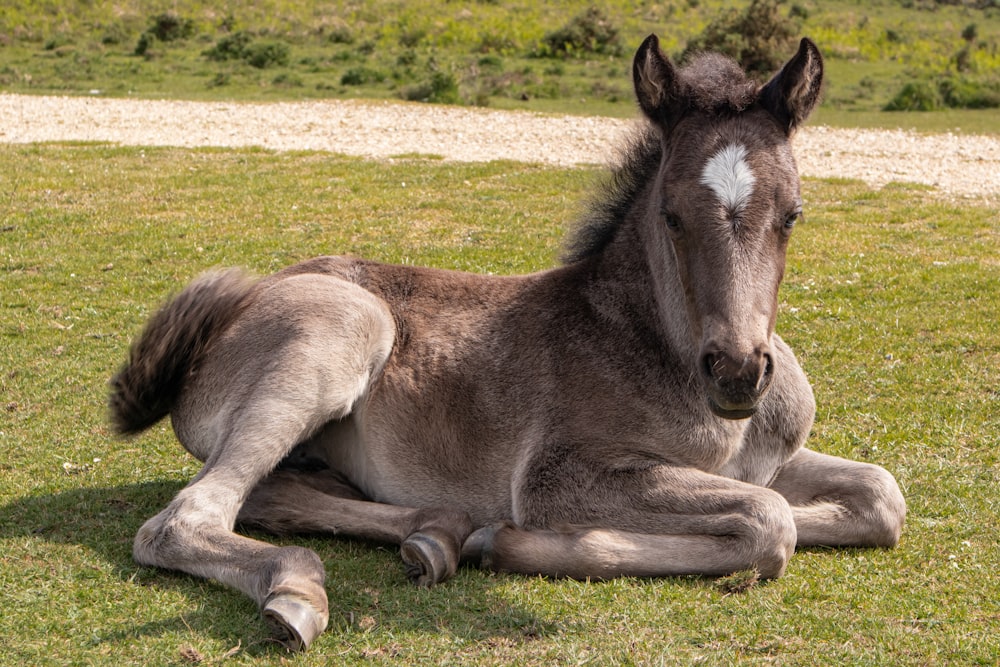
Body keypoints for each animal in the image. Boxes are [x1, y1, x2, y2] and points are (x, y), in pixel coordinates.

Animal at [109, 35, 908, 652]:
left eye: (793, 214)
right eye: (673, 215)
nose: (738, 371)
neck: (656, 346)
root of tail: (222, 323)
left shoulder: (771, 458)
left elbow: (879, 497)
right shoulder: (561, 475)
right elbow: (770, 523)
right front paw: (530, 544)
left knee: (276, 493)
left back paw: (439, 536)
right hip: (344, 328)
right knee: (185, 518)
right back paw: (302, 590)